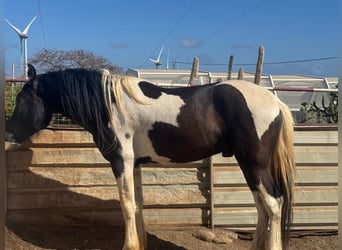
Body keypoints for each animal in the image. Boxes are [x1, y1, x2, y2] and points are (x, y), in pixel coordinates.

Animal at [4, 64, 294, 250]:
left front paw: (129, 245)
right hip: (250, 166)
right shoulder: (134, 165)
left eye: (22, 99)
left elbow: (126, 205)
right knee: (262, 207)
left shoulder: (121, 161)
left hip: (254, 164)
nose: (8, 134)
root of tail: (275, 102)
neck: (109, 104)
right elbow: (137, 205)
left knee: (273, 204)